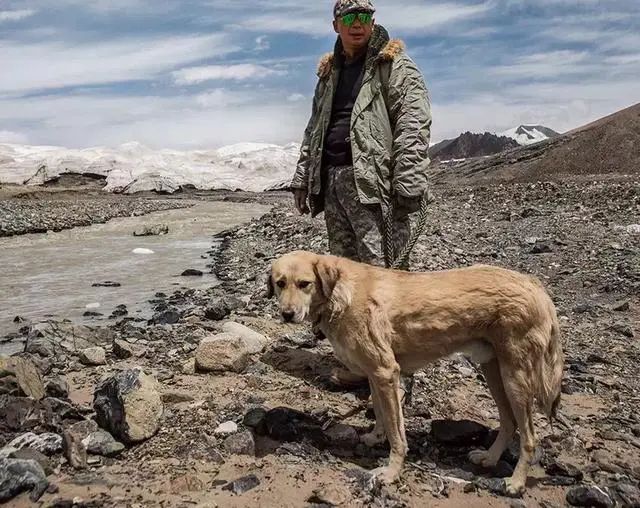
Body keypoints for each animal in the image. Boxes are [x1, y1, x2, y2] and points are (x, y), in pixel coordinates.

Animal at [270, 250, 564, 496]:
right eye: (280, 283)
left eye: (305, 284)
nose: (287, 314)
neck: (339, 294)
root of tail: (535, 286)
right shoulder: (376, 375)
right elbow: (381, 413)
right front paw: (376, 437)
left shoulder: (386, 372)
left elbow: (397, 432)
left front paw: (391, 472)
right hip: (494, 371)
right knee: (509, 422)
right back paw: (490, 459)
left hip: (516, 378)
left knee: (529, 436)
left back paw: (516, 482)